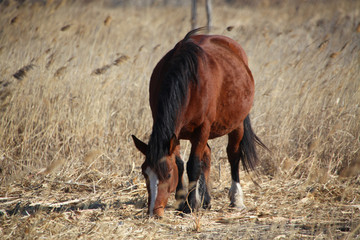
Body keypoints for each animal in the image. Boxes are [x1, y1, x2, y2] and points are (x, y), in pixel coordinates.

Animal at [132, 28, 268, 218]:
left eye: (168, 175)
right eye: (145, 173)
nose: (154, 212)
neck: (189, 82)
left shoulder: (203, 128)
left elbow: (193, 165)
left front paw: (190, 206)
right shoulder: (176, 132)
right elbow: (181, 164)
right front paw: (183, 201)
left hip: (237, 124)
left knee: (233, 155)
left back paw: (236, 199)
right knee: (207, 155)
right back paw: (206, 200)